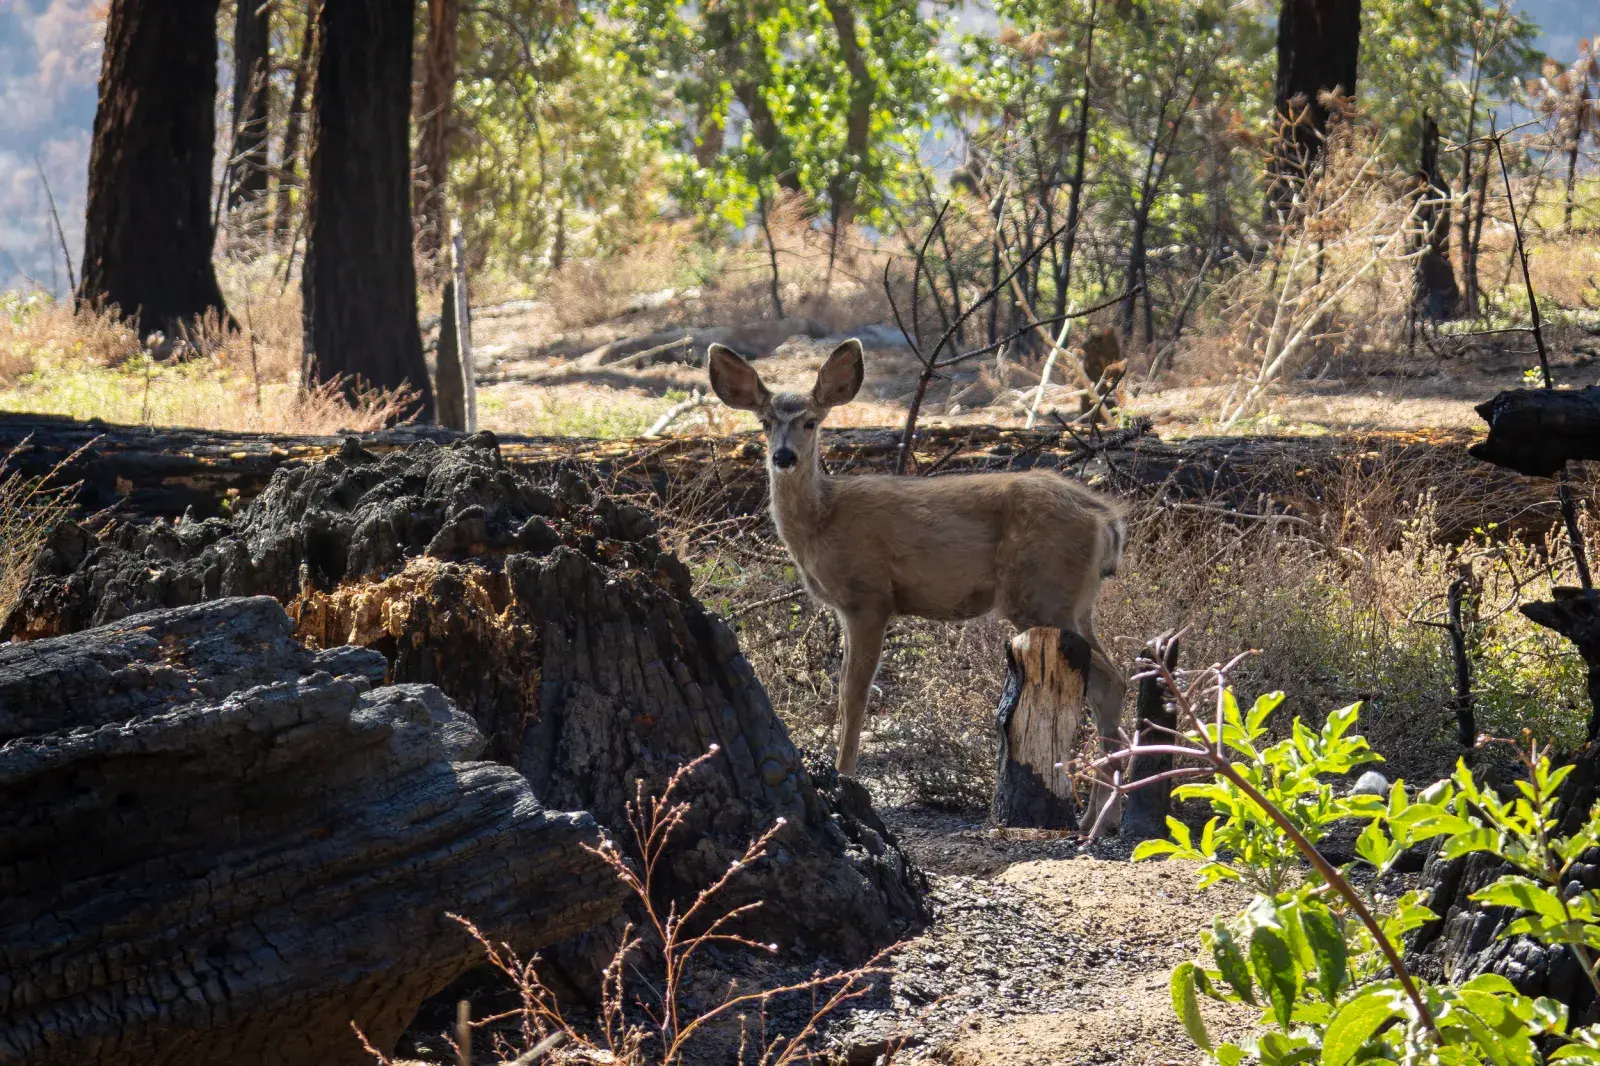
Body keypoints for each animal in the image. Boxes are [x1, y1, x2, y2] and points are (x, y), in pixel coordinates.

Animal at [709, 338, 1129, 818]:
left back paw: (1102, 817)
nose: (783, 457)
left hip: (1039, 593)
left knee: (1111, 683)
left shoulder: (869, 597)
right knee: (1107, 682)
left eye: (811, 422)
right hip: (1074, 603)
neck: (822, 520)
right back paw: (1098, 815)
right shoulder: (851, 607)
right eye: (764, 423)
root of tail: (1107, 519)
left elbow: (853, 696)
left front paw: (845, 777)